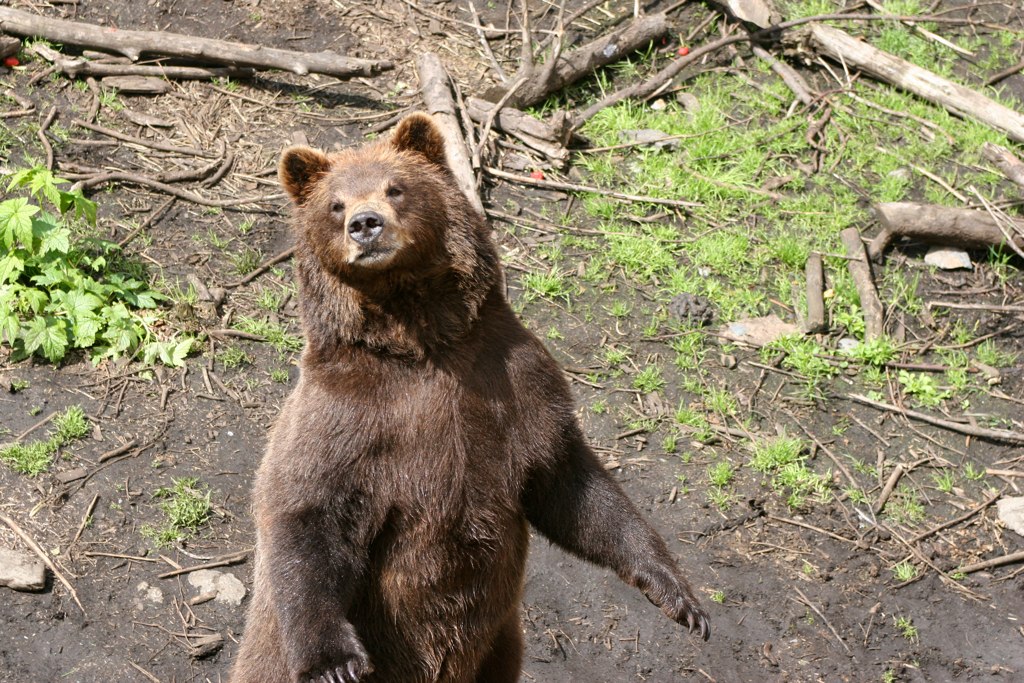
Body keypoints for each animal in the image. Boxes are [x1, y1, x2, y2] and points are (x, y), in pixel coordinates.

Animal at [228, 112, 709, 683]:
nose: (365, 224)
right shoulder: (346, 417)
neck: (420, 341)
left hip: (499, 642)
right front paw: (335, 662)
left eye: (396, 187)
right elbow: (307, 511)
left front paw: (678, 593)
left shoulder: (514, 383)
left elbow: (574, 487)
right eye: (335, 204)